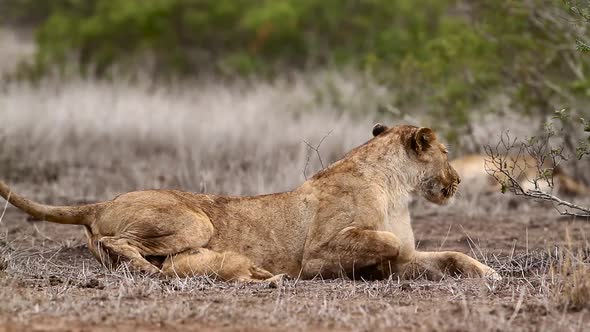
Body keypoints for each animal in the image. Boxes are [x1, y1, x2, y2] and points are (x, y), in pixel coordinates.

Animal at [0, 124, 502, 282]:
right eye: (446, 152)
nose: (458, 180)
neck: (398, 190)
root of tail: (101, 202)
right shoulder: (316, 254)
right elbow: (386, 244)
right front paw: (371, 269)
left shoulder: (413, 253)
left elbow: (451, 255)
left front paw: (489, 273)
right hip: (195, 223)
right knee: (119, 243)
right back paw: (147, 269)